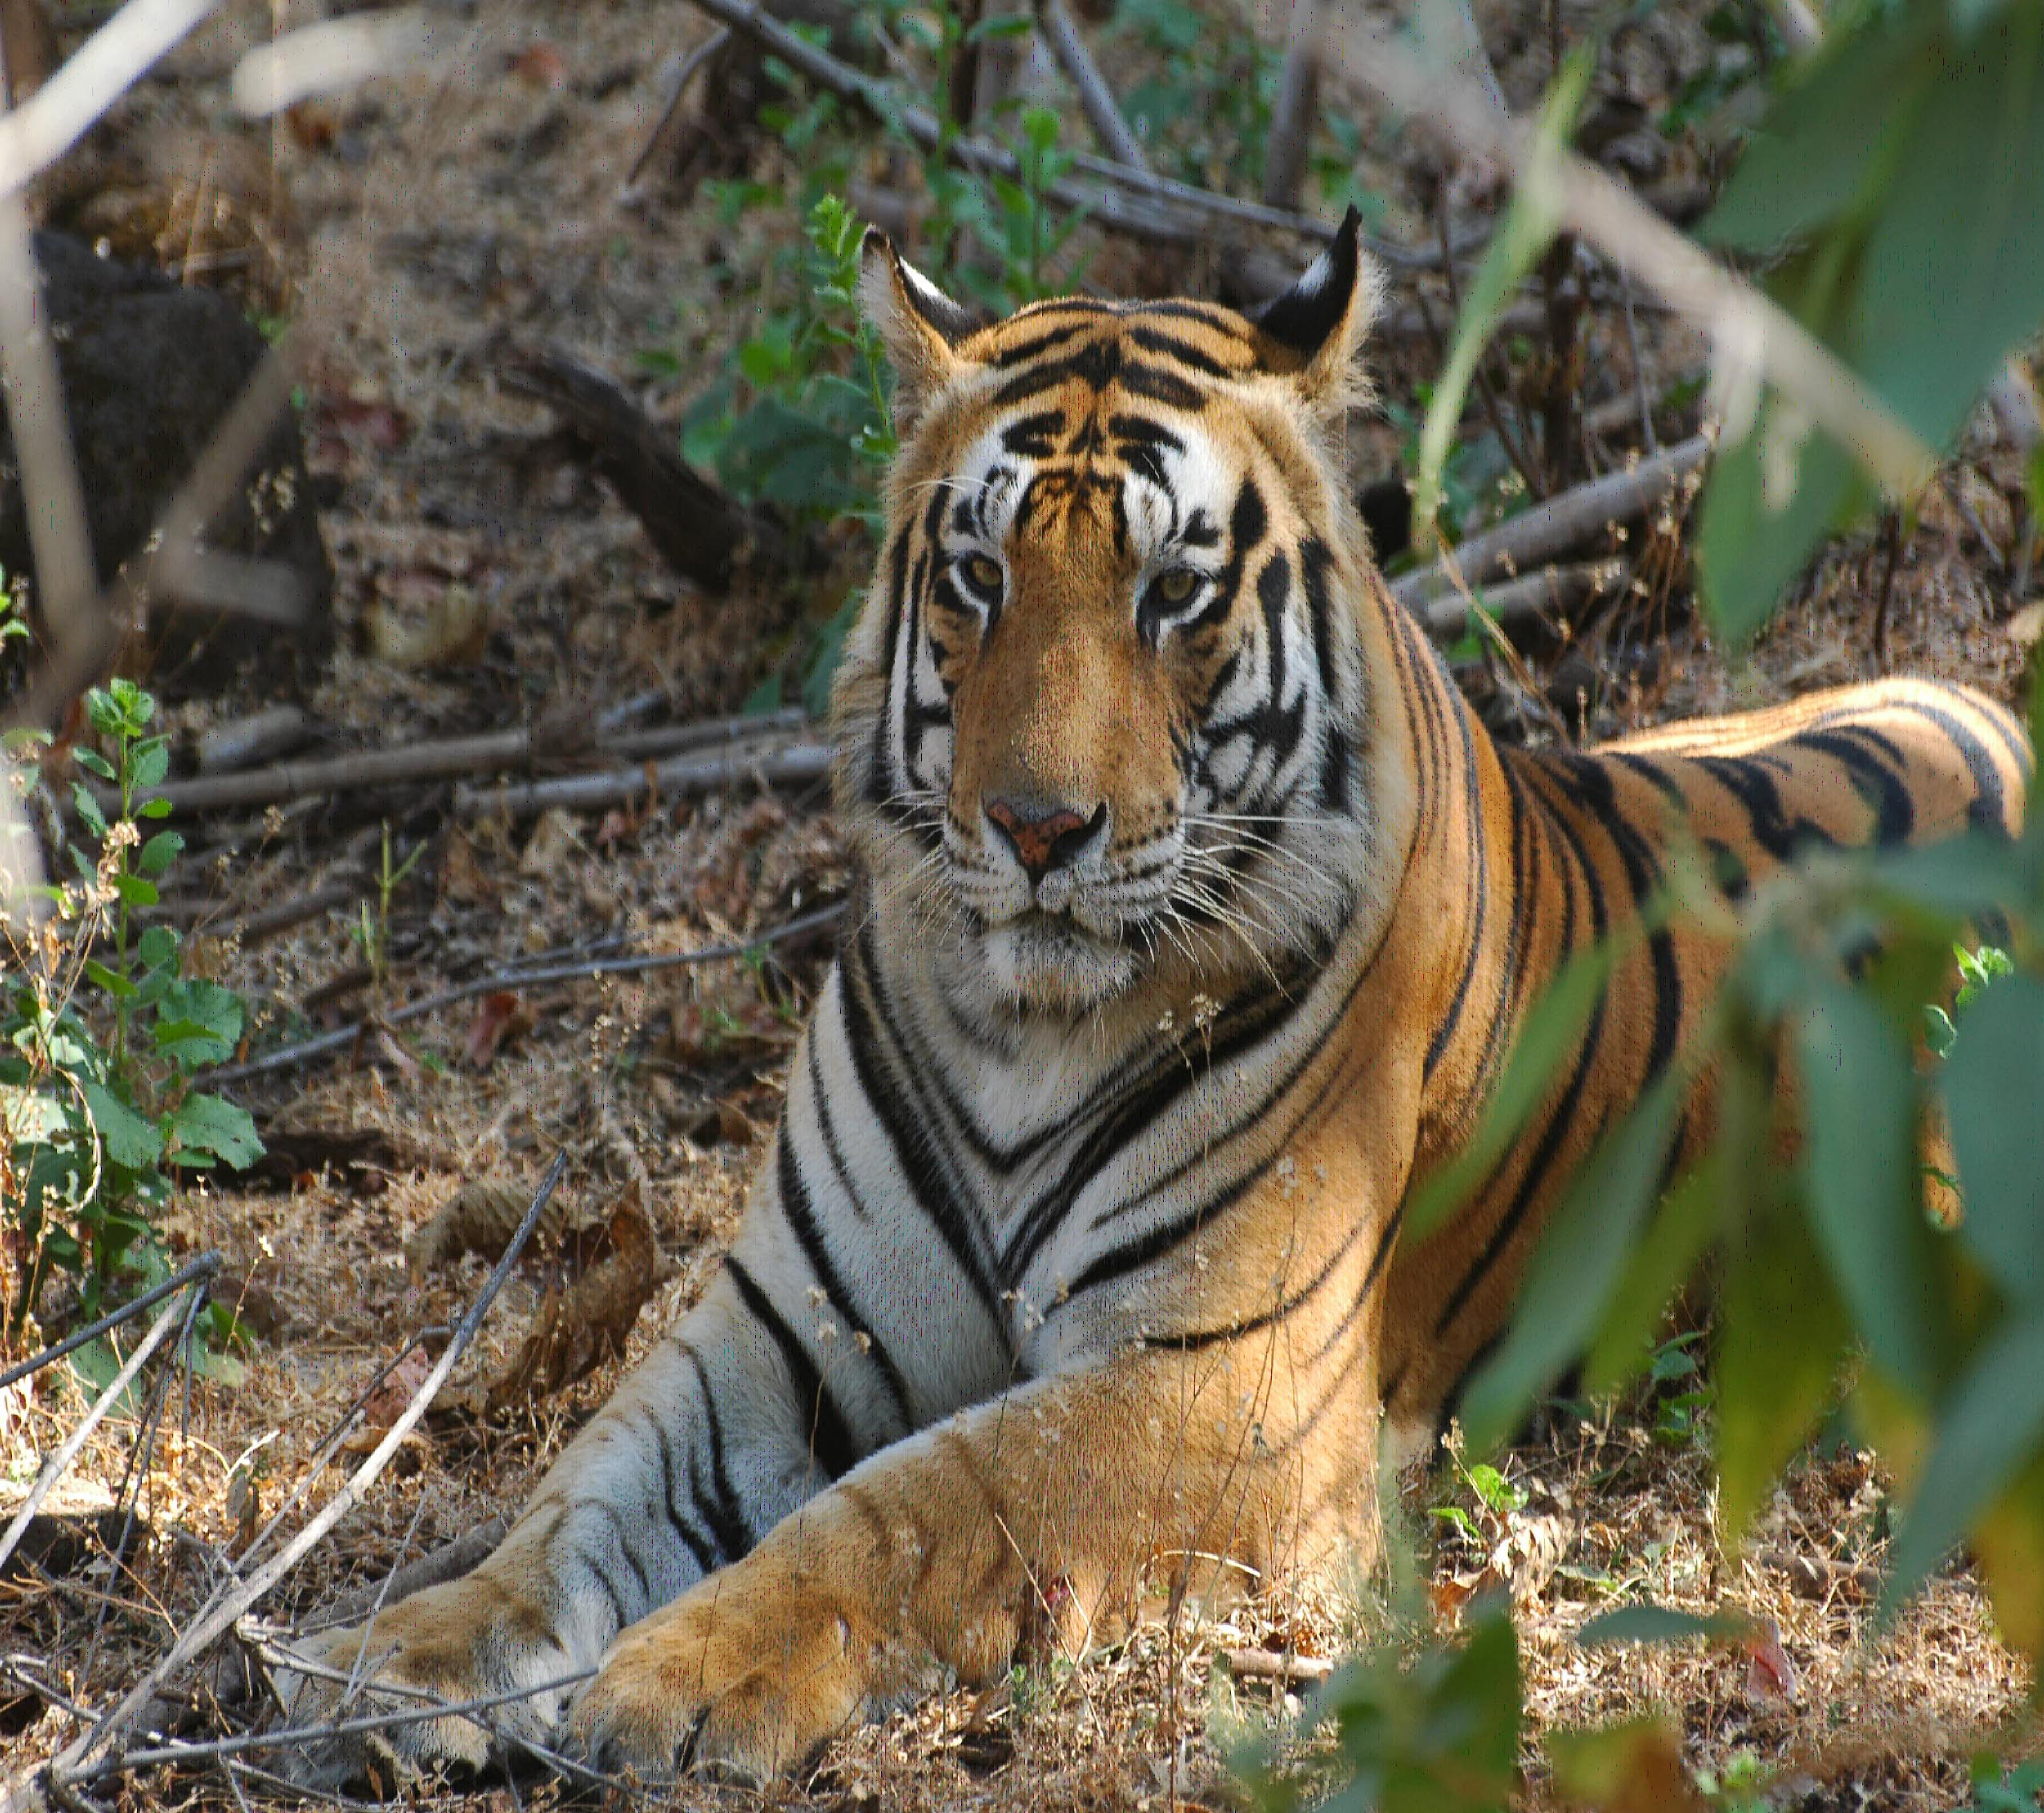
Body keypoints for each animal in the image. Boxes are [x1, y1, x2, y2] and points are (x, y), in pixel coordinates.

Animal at [280, 209, 2035, 1790]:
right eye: (977, 574)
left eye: (1172, 592)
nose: (1036, 828)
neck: (1020, 1031)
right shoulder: (779, 1325)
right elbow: (580, 1492)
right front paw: (393, 1657)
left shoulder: (1220, 1383)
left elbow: (914, 1503)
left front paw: (679, 1677)